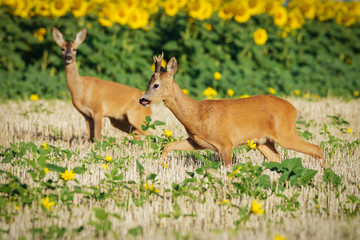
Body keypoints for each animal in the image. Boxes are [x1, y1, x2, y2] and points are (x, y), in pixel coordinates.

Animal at [139, 53, 328, 167]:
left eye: (155, 85)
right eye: (149, 83)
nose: (142, 100)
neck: (197, 114)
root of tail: (294, 109)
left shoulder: (225, 143)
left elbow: (228, 169)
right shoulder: (196, 142)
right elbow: (168, 146)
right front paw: (160, 165)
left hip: (285, 133)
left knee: (317, 149)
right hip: (263, 142)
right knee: (278, 158)